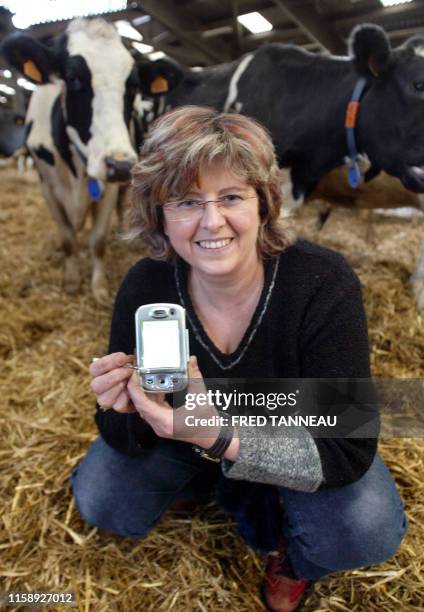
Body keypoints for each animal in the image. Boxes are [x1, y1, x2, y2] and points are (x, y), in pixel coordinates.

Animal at [0, 16, 181, 298]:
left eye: (133, 86)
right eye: (73, 79)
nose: (120, 164)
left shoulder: (109, 188)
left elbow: (98, 240)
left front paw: (99, 287)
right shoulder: (47, 186)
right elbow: (67, 238)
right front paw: (72, 281)